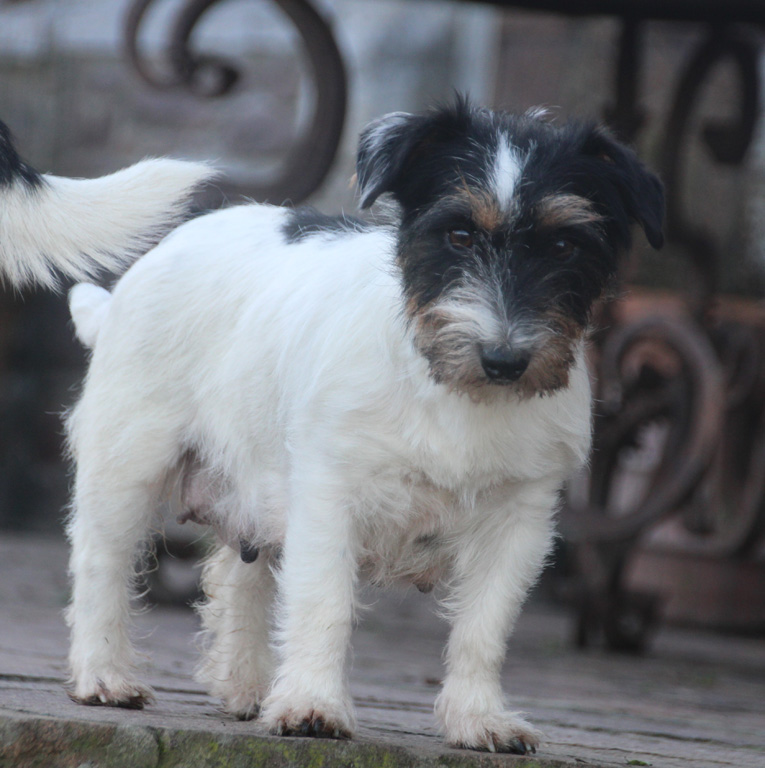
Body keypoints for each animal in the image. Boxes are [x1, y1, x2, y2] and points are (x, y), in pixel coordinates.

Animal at [64, 99, 663, 754]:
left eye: (563, 246)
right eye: (458, 234)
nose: (505, 361)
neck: (451, 387)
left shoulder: (520, 521)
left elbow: (484, 627)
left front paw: (478, 718)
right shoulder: (330, 496)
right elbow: (324, 603)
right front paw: (312, 707)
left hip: (255, 485)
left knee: (239, 574)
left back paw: (245, 686)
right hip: (128, 462)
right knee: (102, 562)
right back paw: (105, 677)